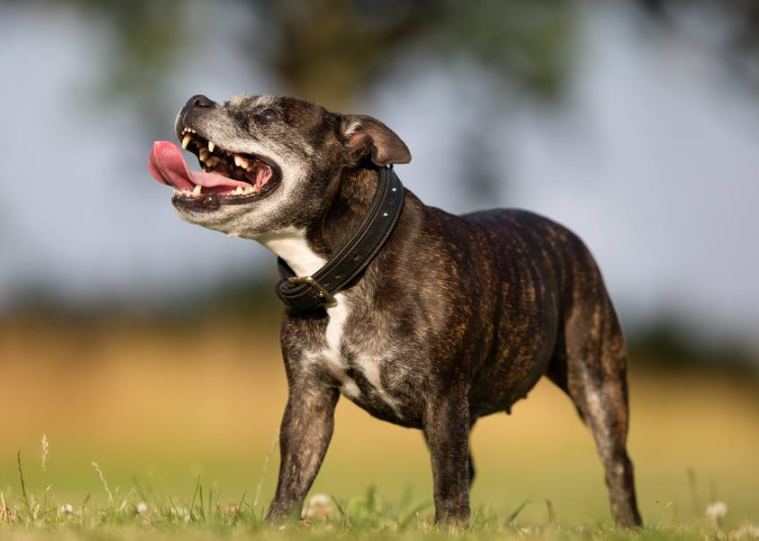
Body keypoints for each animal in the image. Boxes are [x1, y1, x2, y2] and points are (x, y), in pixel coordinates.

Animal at [150, 94, 648, 528]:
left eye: (269, 113)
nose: (196, 99)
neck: (347, 267)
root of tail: (567, 235)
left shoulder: (444, 396)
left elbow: (447, 480)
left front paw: (450, 528)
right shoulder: (310, 398)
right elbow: (294, 475)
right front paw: (276, 525)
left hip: (596, 381)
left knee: (616, 461)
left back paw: (628, 525)